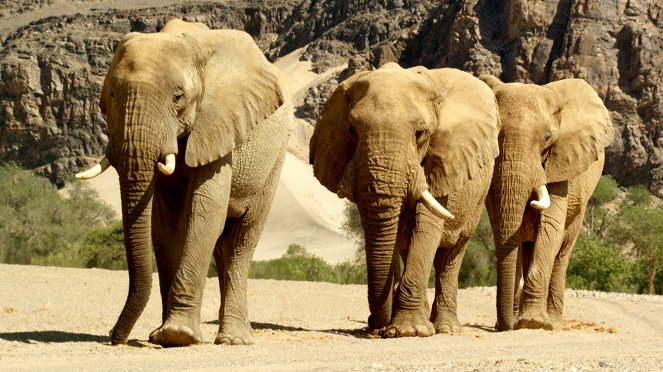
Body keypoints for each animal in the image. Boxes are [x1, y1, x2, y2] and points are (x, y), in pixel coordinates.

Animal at [76, 19, 294, 346]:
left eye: (178, 97)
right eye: (110, 98)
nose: (114, 336)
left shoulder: (216, 122)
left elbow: (204, 213)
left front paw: (177, 335)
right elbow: (166, 226)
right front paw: (161, 336)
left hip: (275, 157)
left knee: (242, 240)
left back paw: (234, 340)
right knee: (224, 247)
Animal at [308, 62, 500, 336]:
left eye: (420, 133)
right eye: (351, 130)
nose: (376, 328)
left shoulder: (440, 163)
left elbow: (428, 227)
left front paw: (409, 331)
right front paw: (398, 327)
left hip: (475, 202)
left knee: (450, 256)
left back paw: (446, 328)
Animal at [480, 75, 616, 332]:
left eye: (546, 138)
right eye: (494, 134)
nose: (504, 326)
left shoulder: (561, 163)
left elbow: (550, 227)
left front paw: (534, 323)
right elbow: (503, 229)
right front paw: (516, 321)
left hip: (580, 209)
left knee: (562, 252)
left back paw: (553, 320)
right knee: (526, 248)